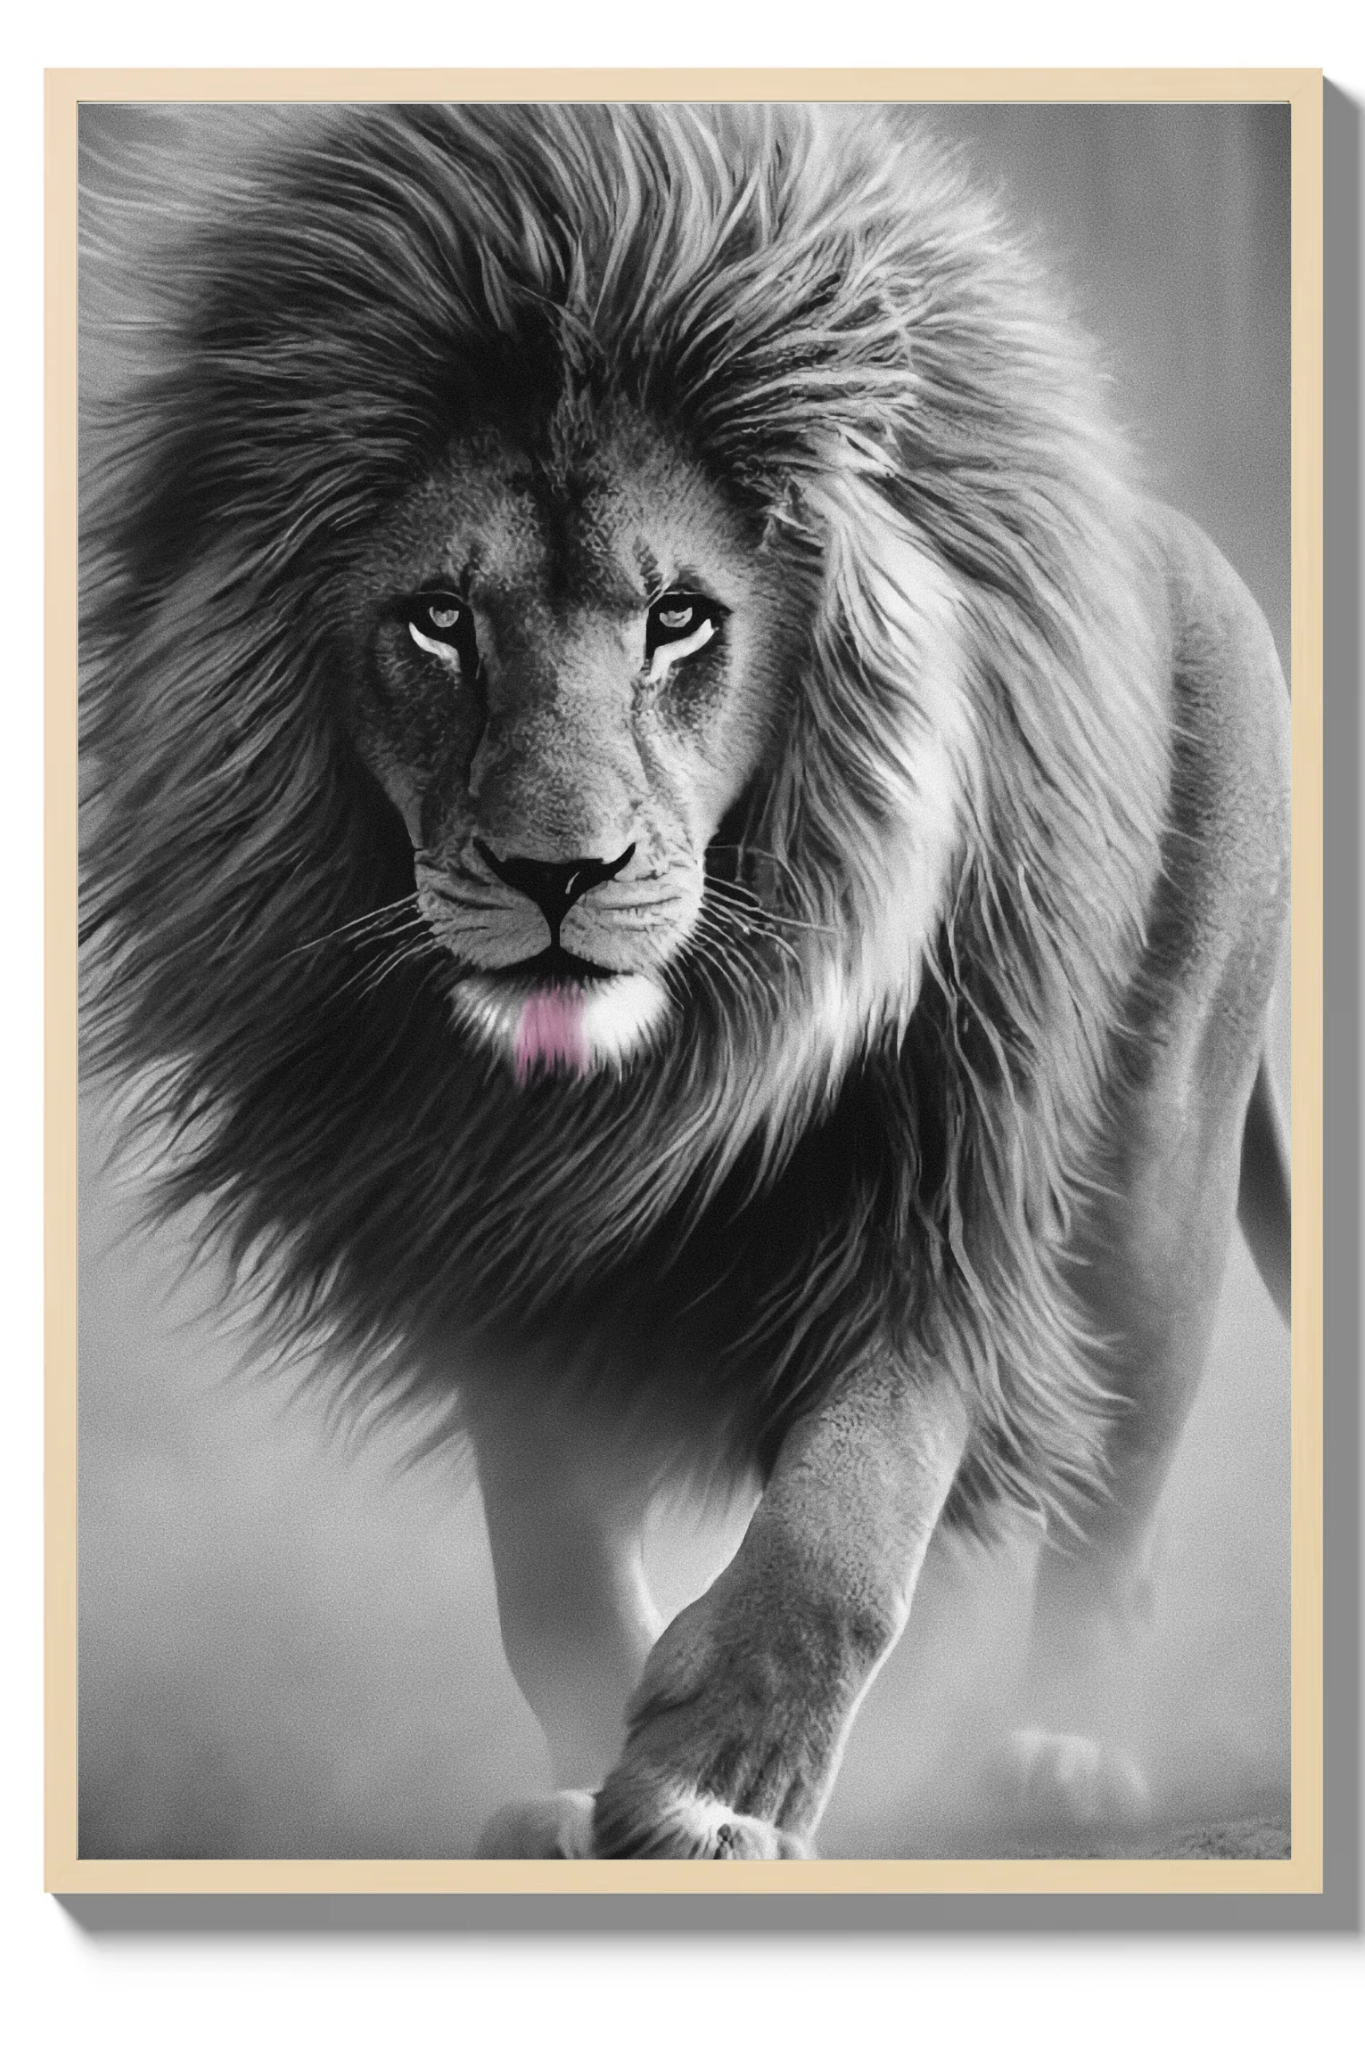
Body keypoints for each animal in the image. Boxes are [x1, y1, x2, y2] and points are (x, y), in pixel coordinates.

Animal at [82, 102, 1290, 1859]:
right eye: (438, 621)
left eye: (678, 620)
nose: (556, 875)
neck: (648, 1087)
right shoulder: (486, 1259)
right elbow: (552, 1581)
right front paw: (591, 1785)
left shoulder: (941, 1194)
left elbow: (848, 1524)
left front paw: (720, 1787)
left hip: (1157, 1199)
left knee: (1111, 1507)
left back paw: (1062, 1752)